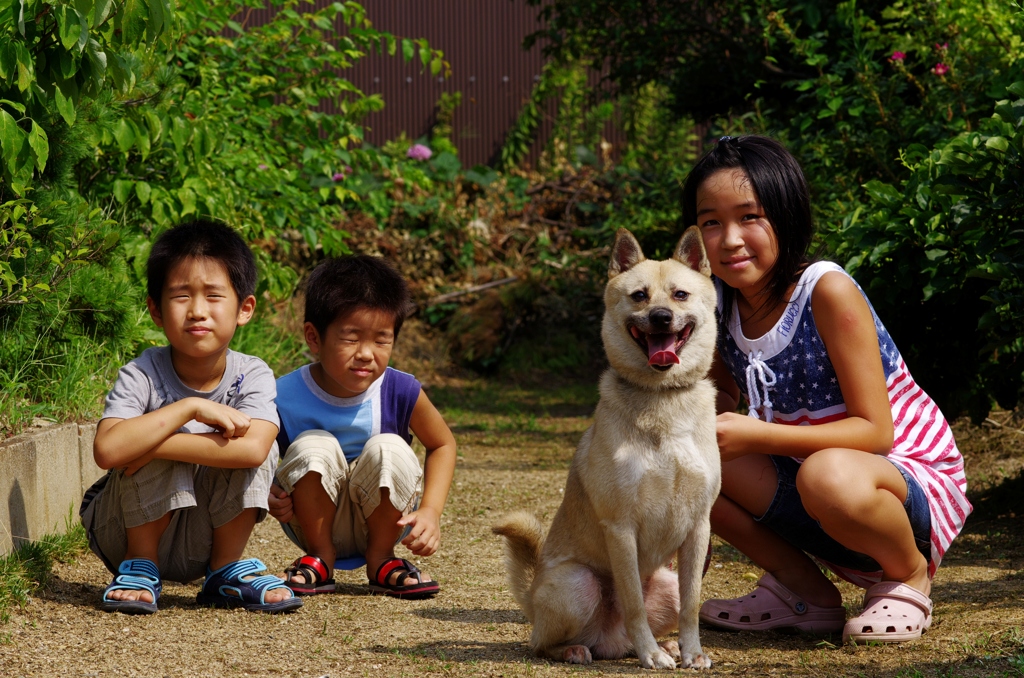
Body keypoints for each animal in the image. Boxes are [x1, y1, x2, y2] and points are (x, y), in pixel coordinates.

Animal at [489, 227, 716, 667]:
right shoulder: (621, 526)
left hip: (666, 580)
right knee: (541, 643)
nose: (661, 317)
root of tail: (609, 641)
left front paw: (691, 652)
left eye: (679, 295)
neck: (661, 397)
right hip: (577, 583)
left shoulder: (699, 527)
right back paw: (580, 649)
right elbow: (632, 601)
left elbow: (692, 605)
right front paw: (651, 656)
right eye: (639, 295)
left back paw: (661, 645)